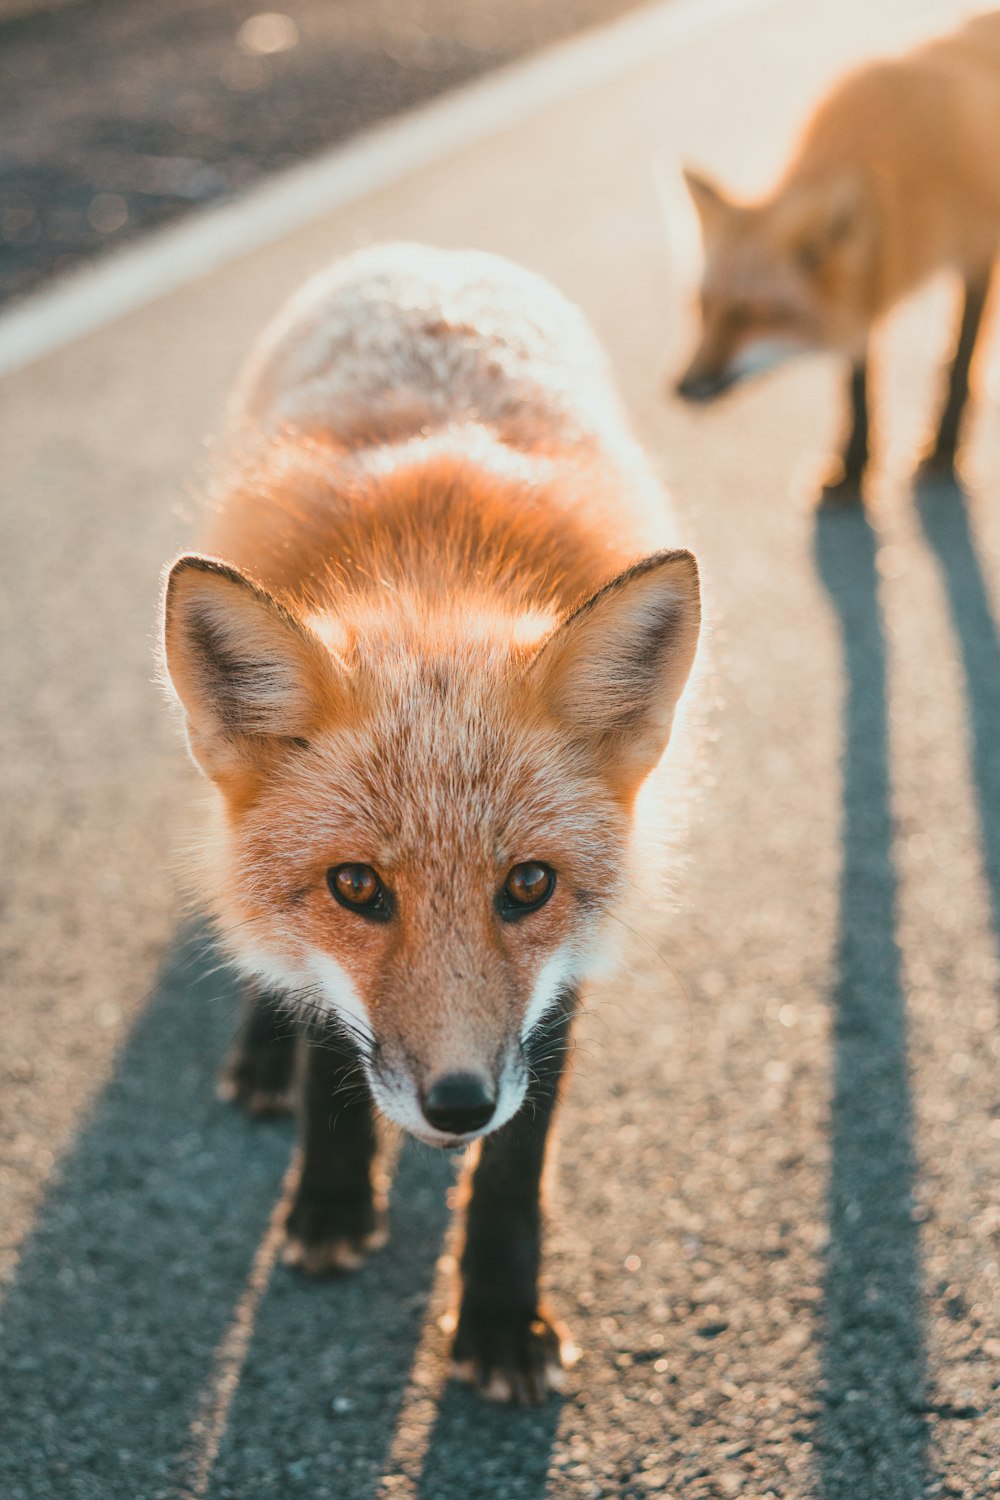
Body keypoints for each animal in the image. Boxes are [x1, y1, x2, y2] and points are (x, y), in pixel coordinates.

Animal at [158, 246, 704, 1404]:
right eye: (358, 888)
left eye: (528, 886)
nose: (455, 1106)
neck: (435, 575)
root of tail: (427, 256)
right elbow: (327, 1036)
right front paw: (329, 1198)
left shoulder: (562, 973)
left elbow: (518, 1162)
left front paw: (497, 1314)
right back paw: (262, 1054)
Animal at [671, 11, 1000, 501]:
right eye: (703, 308)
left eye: (752, 314)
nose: (684, 388)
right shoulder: (864, 281)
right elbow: (856, 381)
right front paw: (853, 465)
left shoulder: (977, 254)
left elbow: (959, 359)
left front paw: (943, 446)